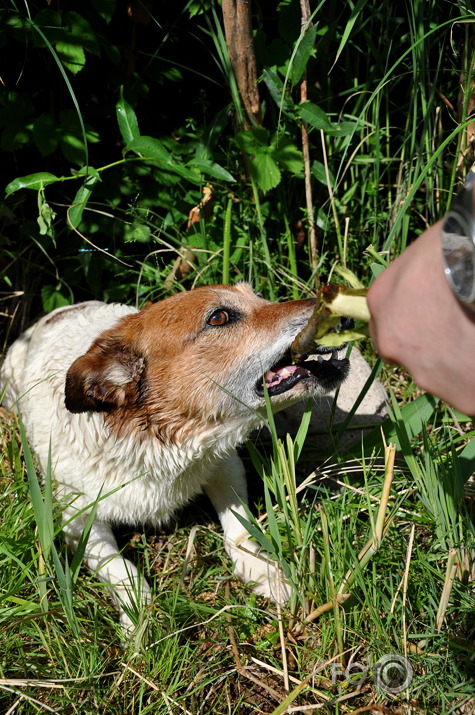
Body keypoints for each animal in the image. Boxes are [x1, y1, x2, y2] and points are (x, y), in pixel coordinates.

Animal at [0, 286, 350, 632]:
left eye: (258, 296)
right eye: (219, 317)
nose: (349, 309)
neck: (155, 444)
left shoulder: (225, 463)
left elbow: (239, 529)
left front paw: (263, 571)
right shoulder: (78, 521)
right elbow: (120, 568)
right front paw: (140, 618)